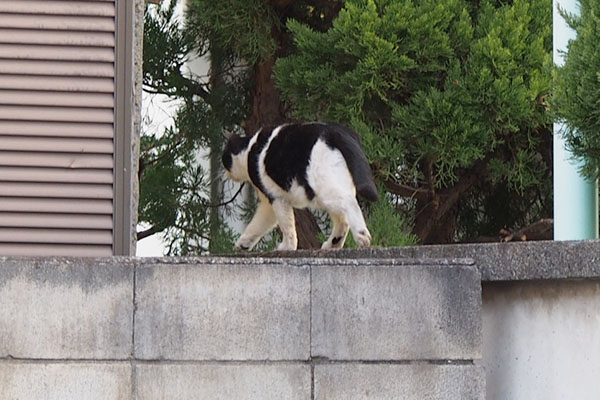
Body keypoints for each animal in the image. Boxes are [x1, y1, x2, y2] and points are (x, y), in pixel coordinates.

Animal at [223, 122, 378, 250]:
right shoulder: (269, 204)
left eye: (224, 158)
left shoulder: (277, 198)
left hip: (324, 190)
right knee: (343, 219)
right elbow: (258, 224)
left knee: (349, 203)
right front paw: (244, 243)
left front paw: (287, 247)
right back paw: (333, 244)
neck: (249, 150)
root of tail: (336, 131)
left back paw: (362, 236)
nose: (225, 173)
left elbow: (287, 226)